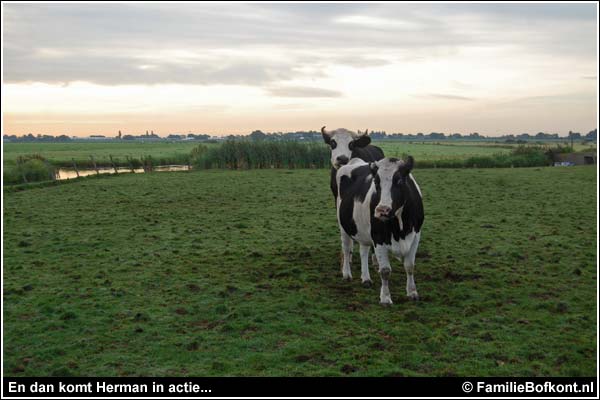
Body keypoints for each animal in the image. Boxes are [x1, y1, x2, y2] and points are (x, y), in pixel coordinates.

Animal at [336, 155, 424, 304]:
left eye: (399, 180)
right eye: (376, 182)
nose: (382, 210)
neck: (400, 228)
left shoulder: (415, 236)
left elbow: (410, 266)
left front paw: (412, 292)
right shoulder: (378, 237)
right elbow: (385, 271)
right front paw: (385, 298)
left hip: (364, 231)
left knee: (363, 251)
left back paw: (366, 278)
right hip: (344, 226)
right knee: (347, 249)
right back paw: (347, 274)